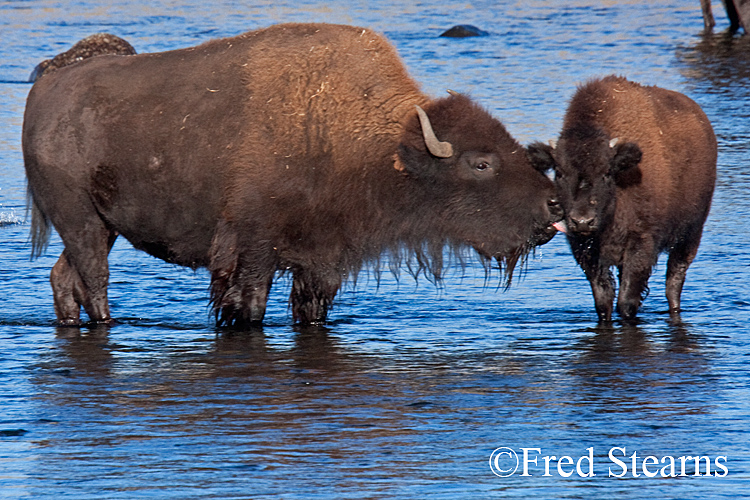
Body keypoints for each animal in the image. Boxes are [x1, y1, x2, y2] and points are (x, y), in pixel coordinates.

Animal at [528, 76, 716, 322]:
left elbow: (627, 301)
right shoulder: (586, 251)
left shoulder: (641, 243)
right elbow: (603, 301)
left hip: (690, 234)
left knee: (674, 282)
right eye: (559, 172)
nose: (582, 222)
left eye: (607, 172)